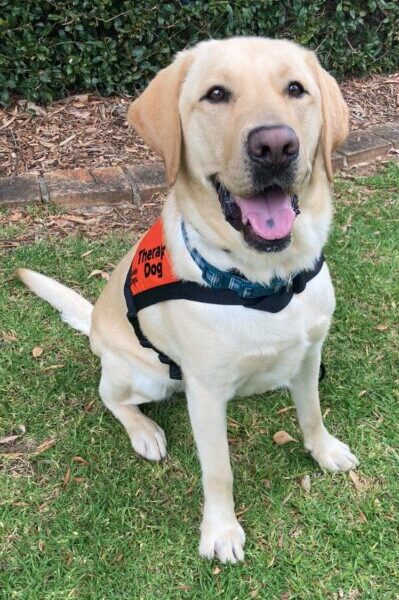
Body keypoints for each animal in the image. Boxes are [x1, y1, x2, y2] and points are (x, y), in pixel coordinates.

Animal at [18, 37, 360, 564]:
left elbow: (312, 411)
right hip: (145, 375)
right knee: (110, 395)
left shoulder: (309, 355)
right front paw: (220, 531)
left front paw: (323, 450)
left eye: (296, 89)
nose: (276, 147)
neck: (264, 284)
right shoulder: (206, 392)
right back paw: (144, 431)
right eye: (216, 94)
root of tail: (94, 323)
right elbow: (218, 470)